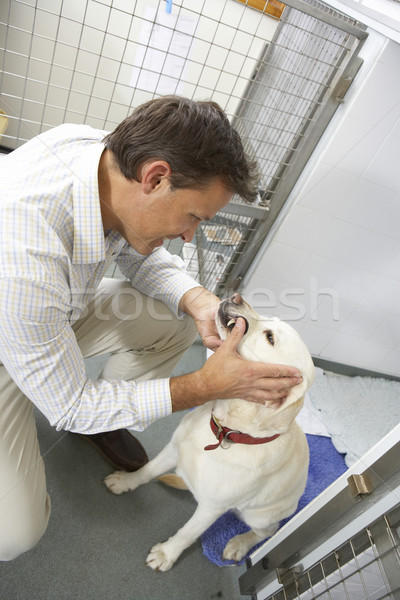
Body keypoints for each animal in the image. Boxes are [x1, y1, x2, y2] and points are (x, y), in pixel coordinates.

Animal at [104, 296, 316, 572]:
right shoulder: (174, 448)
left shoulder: (211, 508)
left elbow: (187, 533)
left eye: (270, 337)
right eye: (271, 322)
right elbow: (147, 471)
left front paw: (166, 554)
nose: (237, 297)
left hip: (259, 515)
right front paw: (126, 481)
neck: (226, 431)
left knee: (267, 532)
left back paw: (239, 544)